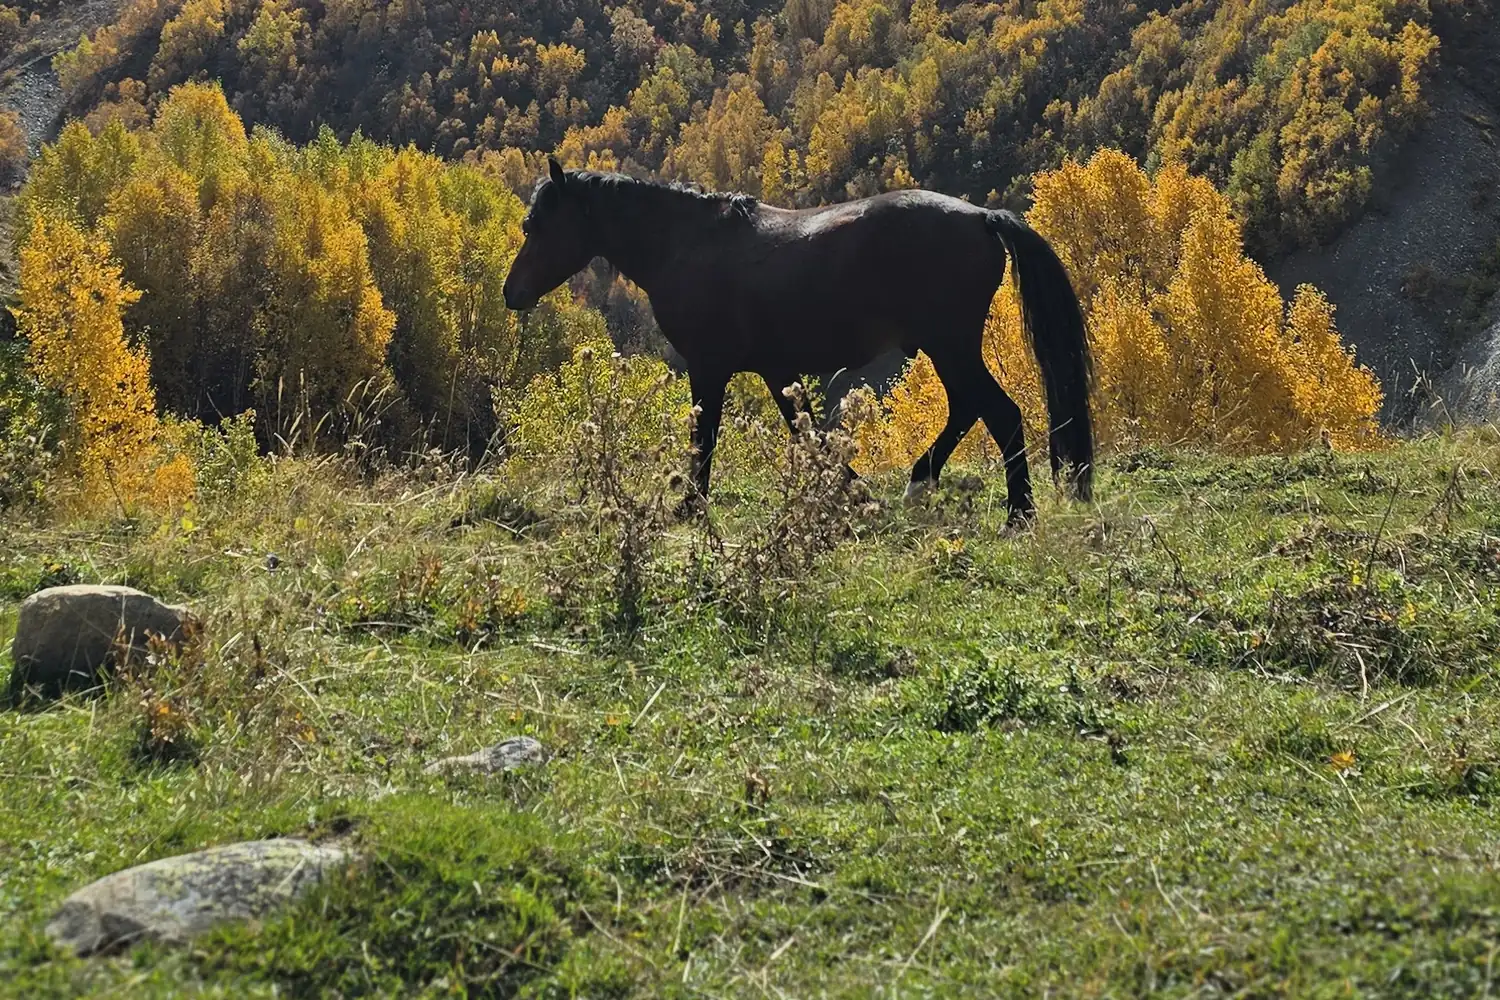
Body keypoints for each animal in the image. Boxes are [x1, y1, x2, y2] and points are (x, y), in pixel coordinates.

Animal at [502, 158, 1093, 525]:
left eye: (536, 225)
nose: (512, 293)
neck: (687, 244)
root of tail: (982, 217)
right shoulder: (776, 370)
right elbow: (806, 431)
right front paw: (852, 491)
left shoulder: (709, 367)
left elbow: (705, 439)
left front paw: (691, 507)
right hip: (948, 349)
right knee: (971, 408)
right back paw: (923, 483)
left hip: (950, 346)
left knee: (1000, 412)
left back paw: (1017, 514)